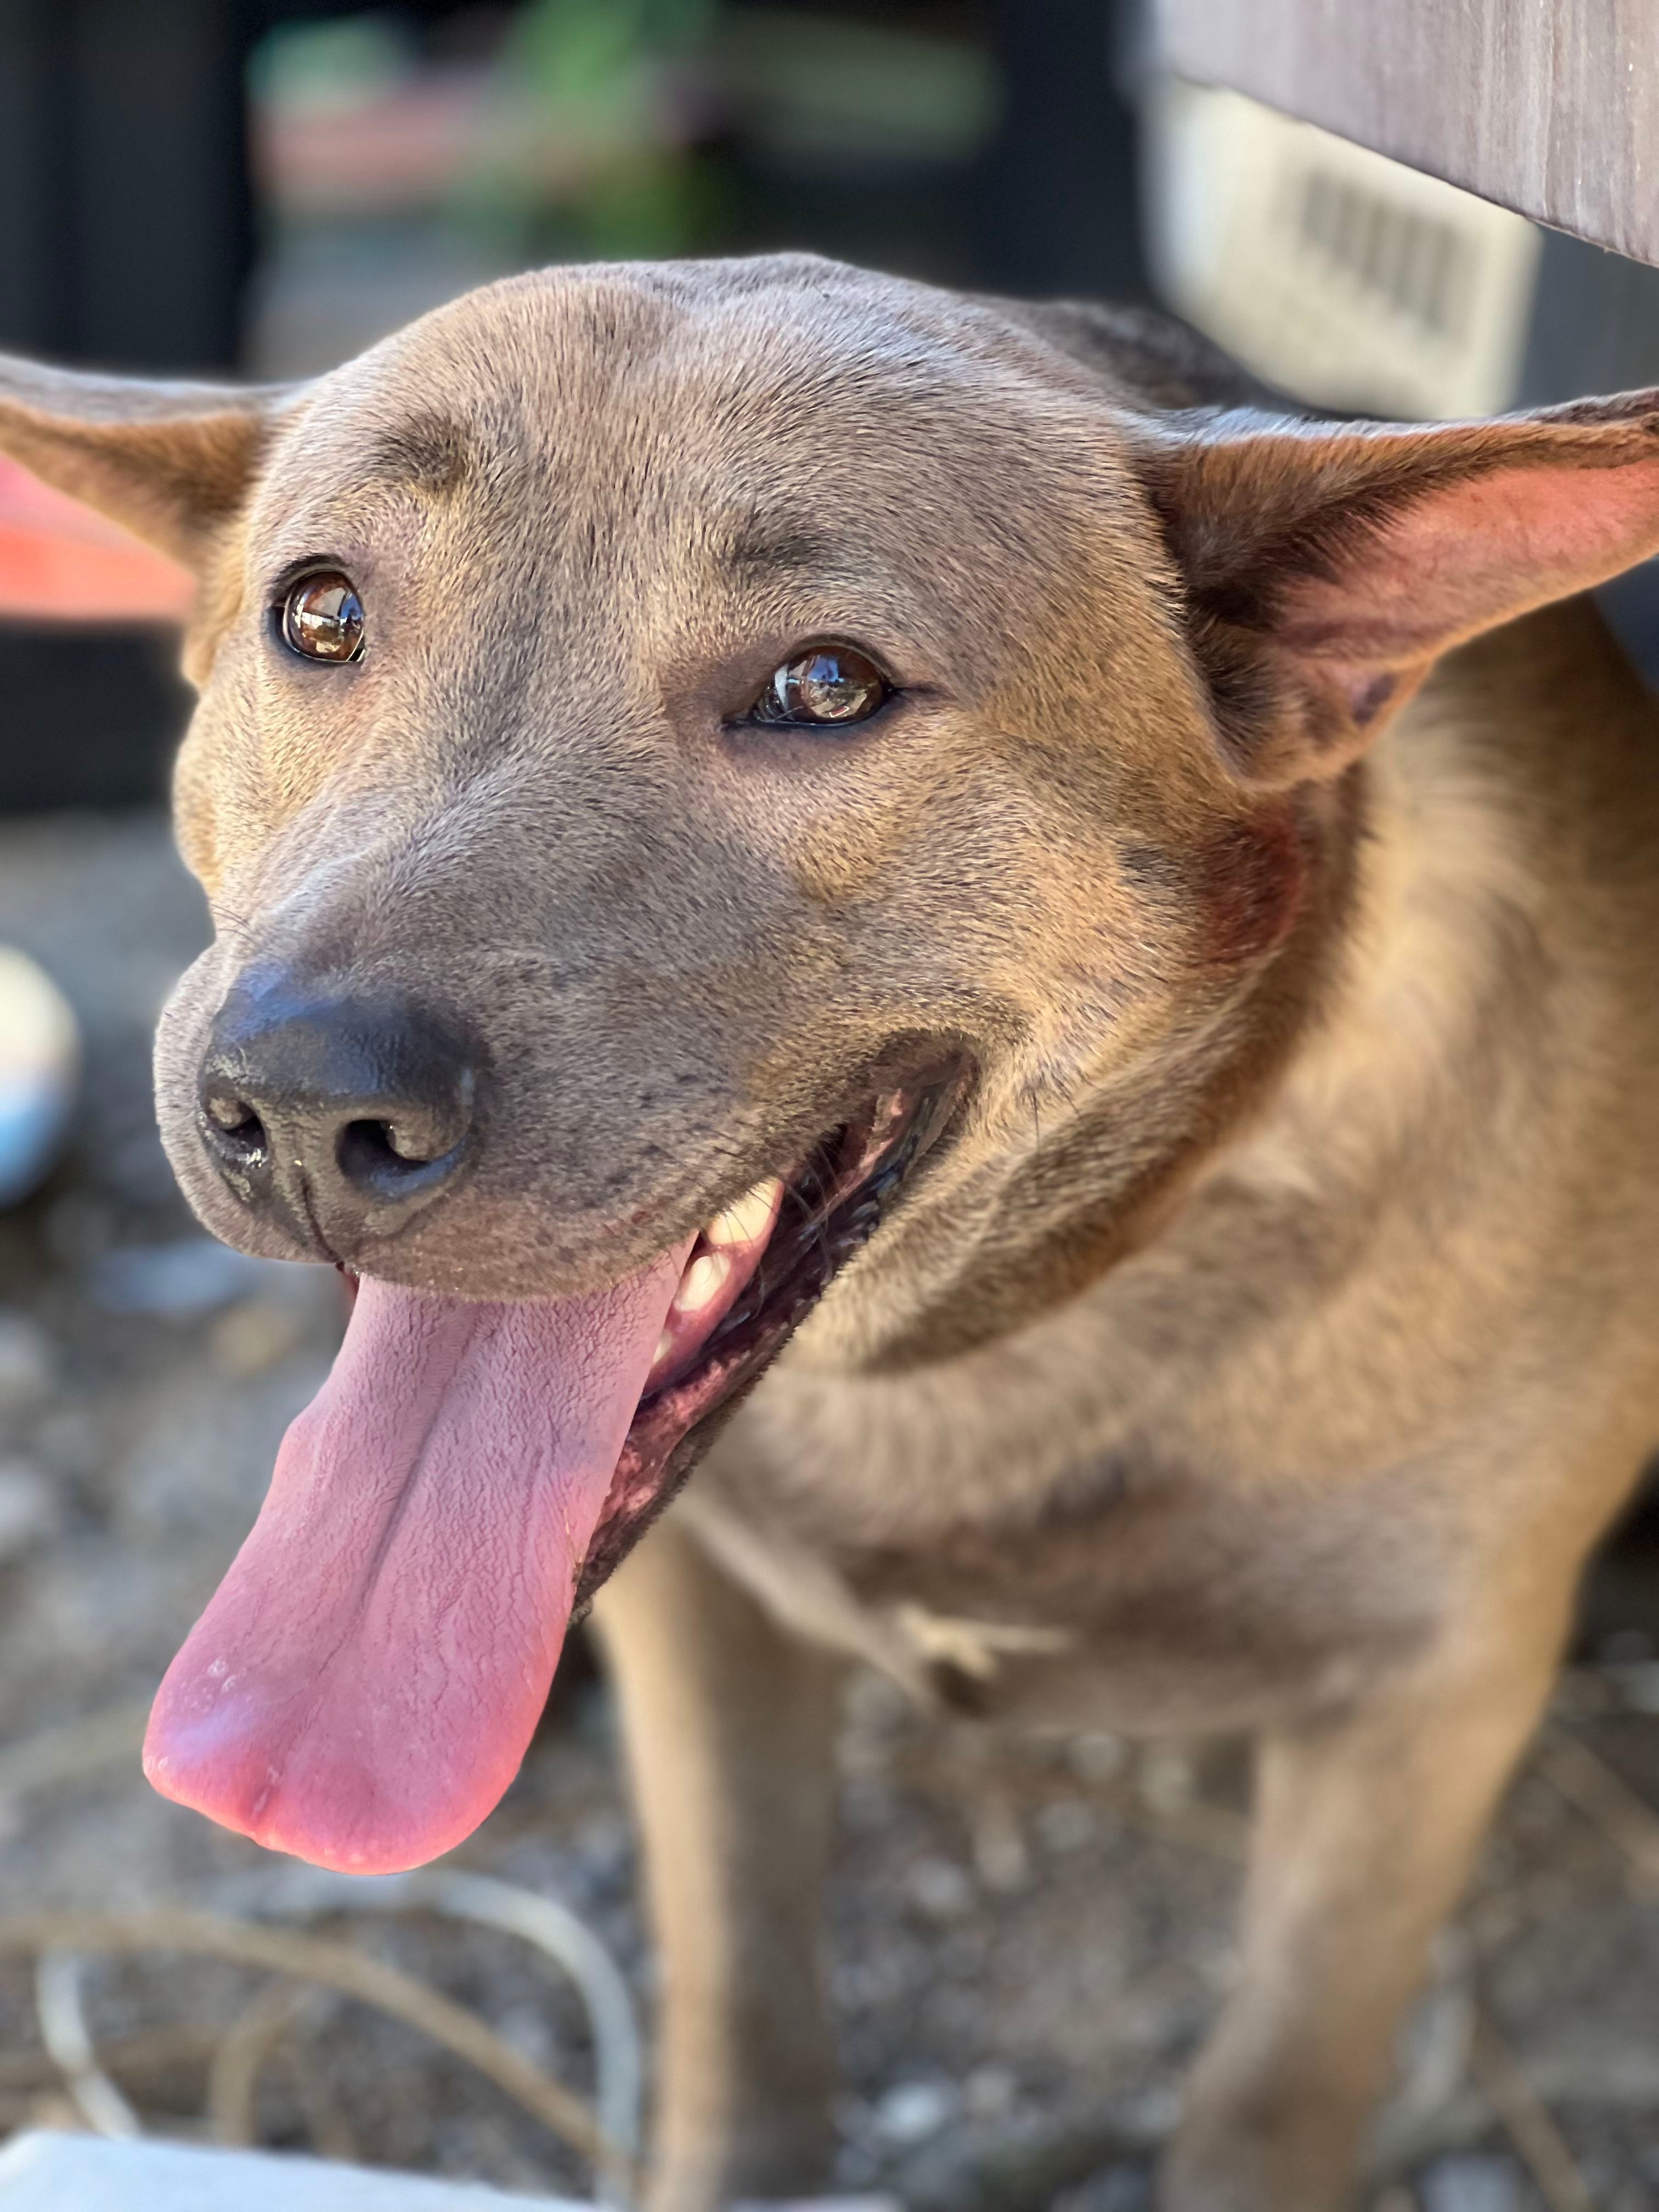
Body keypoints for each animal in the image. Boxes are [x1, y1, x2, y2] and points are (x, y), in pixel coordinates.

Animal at [3, 254, 1659, 2194]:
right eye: (321, 615)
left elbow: (1273, 2087)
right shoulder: (698, 1618)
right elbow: (739, 1986)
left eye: (824, 684)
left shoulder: (1421, 1713)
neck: (990, 1351)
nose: (297, 1112)